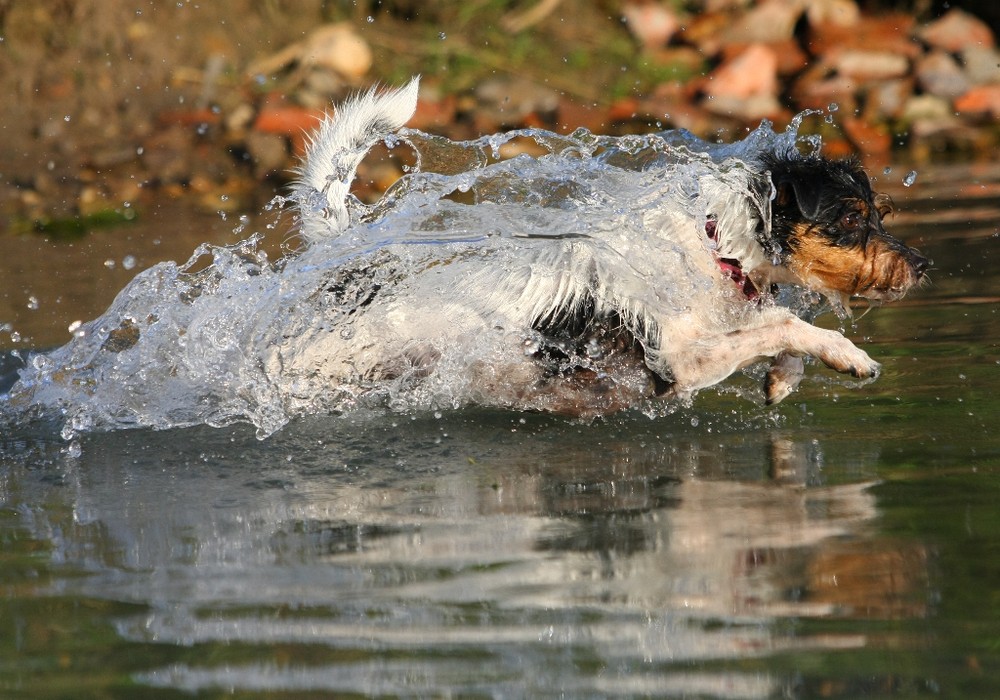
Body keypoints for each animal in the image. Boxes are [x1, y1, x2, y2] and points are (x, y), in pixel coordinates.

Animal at [276, 78, 928, 416]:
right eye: (852, 219)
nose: (923, 267)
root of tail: (357, 266)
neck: (712, 249)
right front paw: (848, 355)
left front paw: (784, 377)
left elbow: (776, 328)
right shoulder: (679, 363)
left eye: (880, 214)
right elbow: (787, 323)